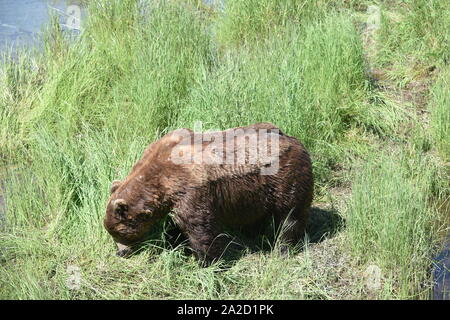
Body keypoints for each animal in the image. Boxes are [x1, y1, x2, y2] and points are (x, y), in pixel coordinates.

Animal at [103, 121, 312, 264]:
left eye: (119, 233)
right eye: (111, 231)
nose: (120, 252)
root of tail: (295, 140)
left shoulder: (191, 189)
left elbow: (200, 227)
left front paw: (205, 261)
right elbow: (176, 225)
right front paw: (174, 242)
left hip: (286, 177)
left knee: (290, 215)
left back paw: (283, 248)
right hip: (257, 192)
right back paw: (252, 233)